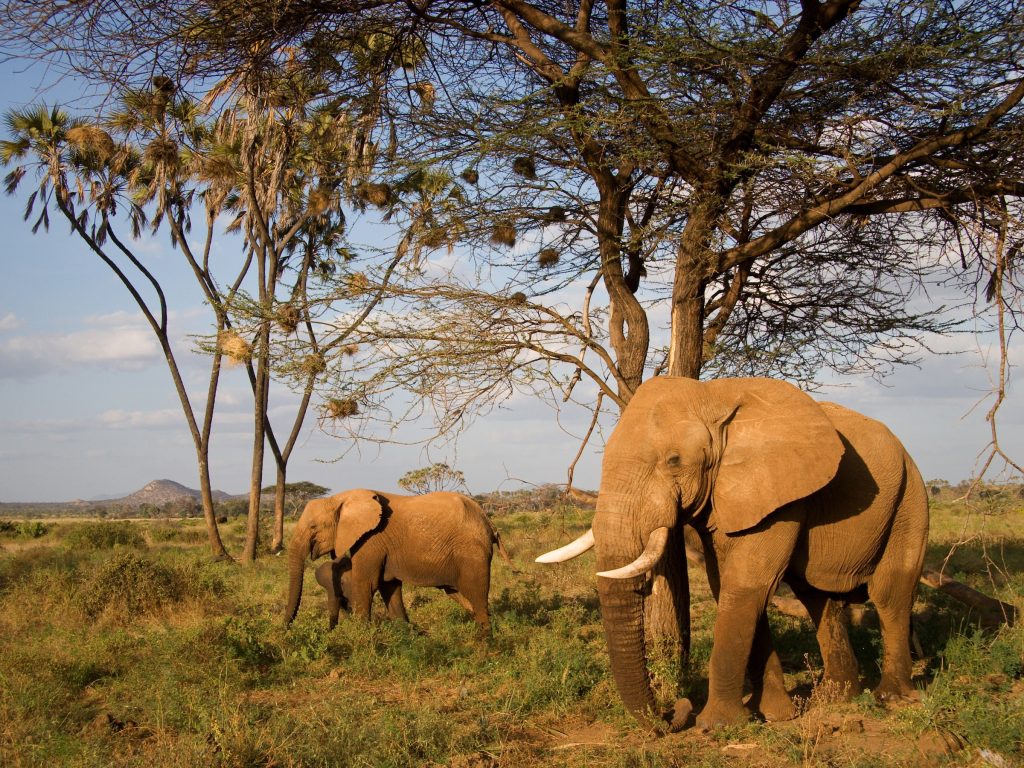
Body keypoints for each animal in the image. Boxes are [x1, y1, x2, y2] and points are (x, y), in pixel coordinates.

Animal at [285, 489, 513, 634]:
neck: (340, 497)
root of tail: (489, 521)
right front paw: (406, 635)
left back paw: (485, 642)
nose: (285, 629)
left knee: (476, 594)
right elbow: (389, 586)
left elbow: (366, 583)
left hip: (472, 552)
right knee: (462, 595)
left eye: (313, 527)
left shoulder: (371, 539)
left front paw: (360, 637)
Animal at [537, 376, 929, 731]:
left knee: (890, 594)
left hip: (909, 499)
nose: (676, 709)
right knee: (819, 598)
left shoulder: (779, 492)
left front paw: (717, 726)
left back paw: (891, 697)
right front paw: (774, 715)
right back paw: (835, 698)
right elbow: (726, 583)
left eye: (674, 461)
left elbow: (747, 584)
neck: (712, 397)